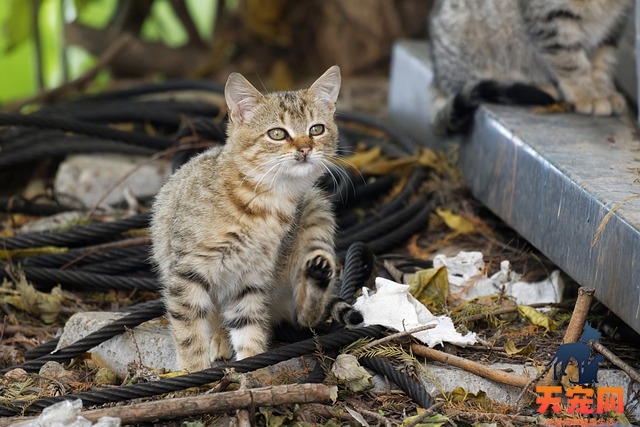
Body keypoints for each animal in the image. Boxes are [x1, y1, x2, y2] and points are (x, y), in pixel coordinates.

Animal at [149, 66, 360, 372]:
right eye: (277, 134)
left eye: (316, 129)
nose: (305, 148)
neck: (265, 202)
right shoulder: (188, 272)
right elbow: (189, 331)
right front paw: (194, 372)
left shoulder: (251, 278)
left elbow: (249, 328)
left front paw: (252, 366)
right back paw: (218, 338)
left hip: (316, 207)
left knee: (305, 317)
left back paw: (317, 273)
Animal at [428, 0, 632, 134]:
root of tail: (437, 78)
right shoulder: (551, 17)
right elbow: (569, 57)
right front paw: (587, 95)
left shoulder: (615, 23)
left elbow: (604, 58)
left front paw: (604, 91)